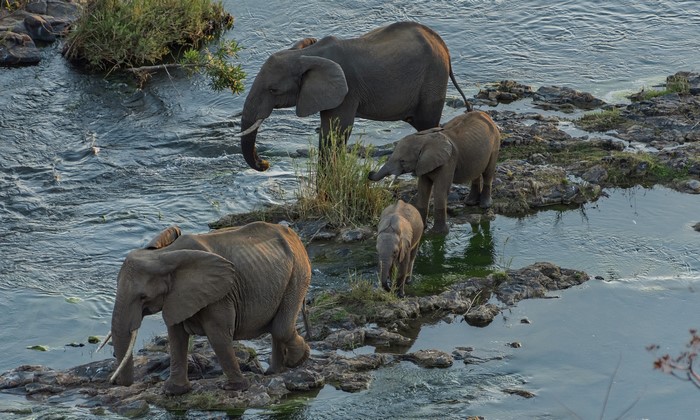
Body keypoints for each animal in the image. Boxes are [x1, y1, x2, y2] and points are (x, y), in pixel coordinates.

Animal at [105, 222, 312, 395]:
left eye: (143, 297)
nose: (116, 383)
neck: (163, 254)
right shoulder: (177, 296)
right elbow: (176, 336)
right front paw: (174, 391)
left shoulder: (219, 294)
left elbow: (217, 335)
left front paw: (234, 388)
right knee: (277, 328)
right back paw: (274, 372)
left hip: (298, 272)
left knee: (280, 328)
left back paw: (298, 360)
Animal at [239, 21, 471, 171]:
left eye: (273, 90)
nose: (264, 164)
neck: (304, 54)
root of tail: (442, 45)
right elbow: (328, 132)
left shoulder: (347, 91)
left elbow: (338, 131)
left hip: (433, 78)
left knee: (427, 123)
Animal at [368, 110, 501, 234]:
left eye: (402, 161)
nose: (370, 172)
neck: (425, 140)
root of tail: (486, 115)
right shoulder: (422, 163)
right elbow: (423, 189)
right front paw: (421, 229)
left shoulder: (448, 161)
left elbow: (440, 190)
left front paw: (437, 233)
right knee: (476, 172)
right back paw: (470, 203)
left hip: (495, 142)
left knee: (488, 172)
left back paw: (484, 205)